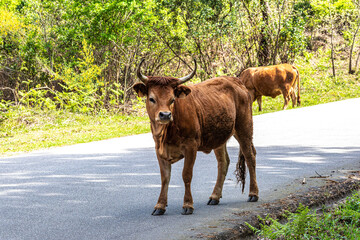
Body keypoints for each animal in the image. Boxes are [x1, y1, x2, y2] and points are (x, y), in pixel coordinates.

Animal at [134, 59, 258, 216]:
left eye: (172, 99)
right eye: (152, 98)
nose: (165, 115)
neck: (167, 133)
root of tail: (236, 81)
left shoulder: (191, 146)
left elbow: (186, 175)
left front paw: (188, 205)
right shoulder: (159, 150)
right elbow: (165, 178)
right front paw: (160, 206)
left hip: (244, 129)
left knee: (250, 157)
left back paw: (253, 193)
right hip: (219, 137)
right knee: (223, 162)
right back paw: (215, 196)